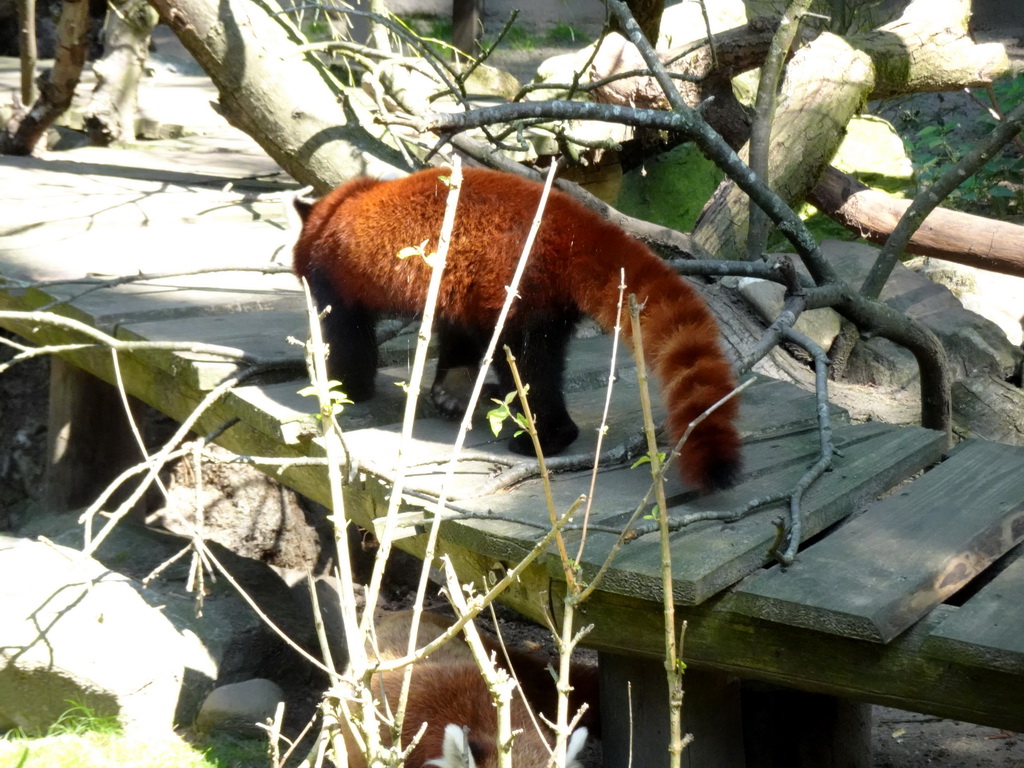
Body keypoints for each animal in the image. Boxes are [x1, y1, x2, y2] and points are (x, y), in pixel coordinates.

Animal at [292, 167, 741, 493]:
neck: (338, 209)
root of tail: (570, 222)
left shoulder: (336, 282)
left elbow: (348, 340)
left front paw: (343, 388)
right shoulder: (457, 289)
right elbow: (455, 334)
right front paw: (451, 387)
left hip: (517, 288)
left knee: (527, 368)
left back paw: (546, 436)